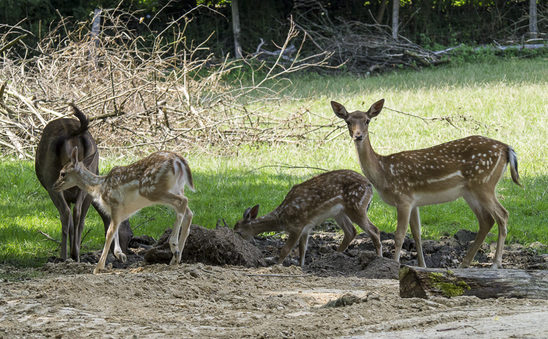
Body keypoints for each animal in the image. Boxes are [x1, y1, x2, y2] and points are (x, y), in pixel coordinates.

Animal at [35, 105, 133, 262]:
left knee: (67, 213)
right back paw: (72, 254)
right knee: (75, 212)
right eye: (131, 236)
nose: (124, 254)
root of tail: (72, 132)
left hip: (51, 181)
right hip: (75, 178)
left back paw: (67, 255)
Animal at [53, 150, 195, 274]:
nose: (54, 186)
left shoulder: (115, 203)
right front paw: (120, 255)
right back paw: (175, 259)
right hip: (177, 188)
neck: (99, 187)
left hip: (152, 189)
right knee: (189, 212)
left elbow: (109, 232)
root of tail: (179, 161)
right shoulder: (119, 211)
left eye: (62, 173)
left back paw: (174, 246)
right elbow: (116, 230)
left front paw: (98, 267)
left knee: (182, 202)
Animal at [234, 170, 382, 268]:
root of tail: (369, 185)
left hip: (356, 206)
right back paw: (333, 257)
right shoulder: (306, 227)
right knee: (351, 231)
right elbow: (302, 249)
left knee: (374, 230)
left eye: (239, 232)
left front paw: (276, 266)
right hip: (339, 212)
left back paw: (380, 259)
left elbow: (285, 250)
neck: (281, 218)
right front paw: (301, 267)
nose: (240, 245)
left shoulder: (297, 225)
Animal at [332, 99, 520, 270]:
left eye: (367, 120)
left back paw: (495, 264)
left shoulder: (403, 198)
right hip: (470, 191)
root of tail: (506, 148)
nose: (358, 135)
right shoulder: (414, 202)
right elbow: (417, 233)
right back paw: (464, 264)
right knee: (486, 220)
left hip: (484, 184)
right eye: (348, 121)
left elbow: (399, 235)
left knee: (503, 215)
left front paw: (394, 264)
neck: (383, 172)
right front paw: (422, 265)